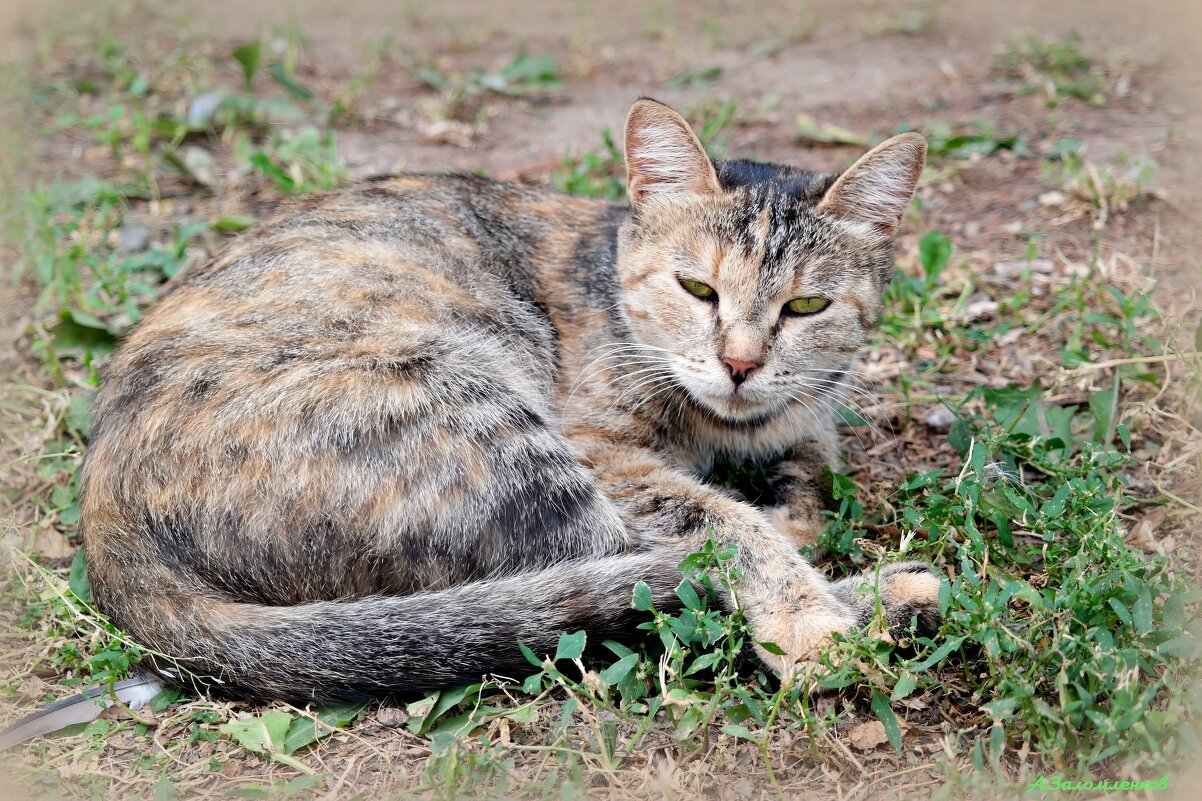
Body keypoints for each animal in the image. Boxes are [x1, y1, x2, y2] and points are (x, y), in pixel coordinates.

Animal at [79, 98, 942, 697]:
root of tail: (105, 516)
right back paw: (893, 594)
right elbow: (730, 526)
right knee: (646, 575)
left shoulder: (808, 423)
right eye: (697, 288)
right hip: (477, 417)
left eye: (807, 307)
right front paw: (808, 621)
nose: (739, 363)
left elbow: (808, 483)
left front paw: (793, 507)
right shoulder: (609, 455)